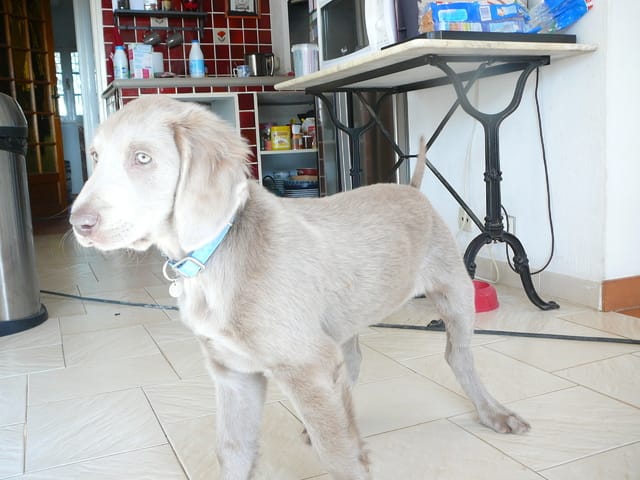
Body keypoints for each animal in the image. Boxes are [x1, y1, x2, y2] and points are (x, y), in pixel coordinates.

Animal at [70, 95, 529, 479]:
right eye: (94, 156)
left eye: (142, 158)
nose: (79, 223)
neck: (215, 255)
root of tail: (412, 190)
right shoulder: (234, 374)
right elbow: (233, 451)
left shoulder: (306, 365)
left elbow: (340, 455)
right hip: (342, 320)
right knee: (354, 360)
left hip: (454, 290)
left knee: (457, 355)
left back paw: (493, 412)